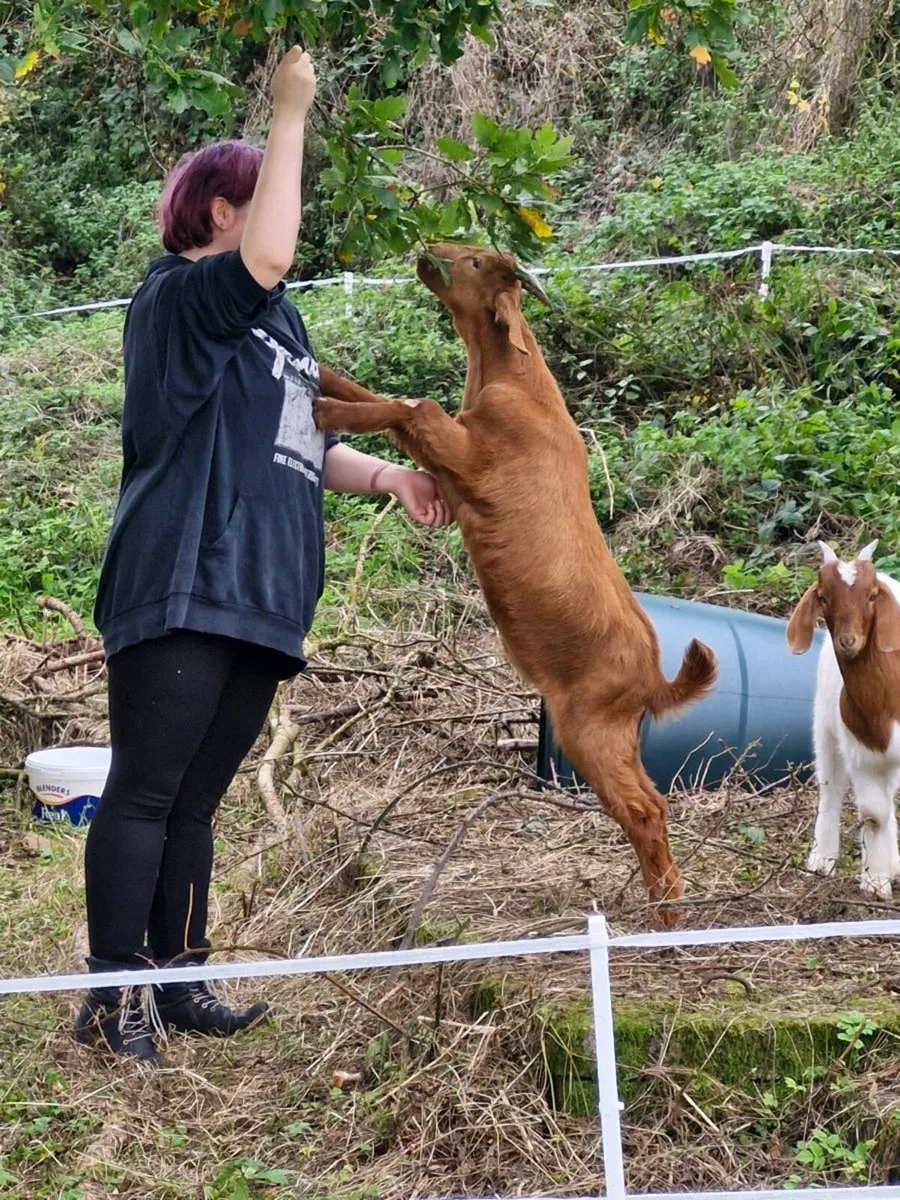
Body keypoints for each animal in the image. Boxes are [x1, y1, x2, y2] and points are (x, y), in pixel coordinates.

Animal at [316, 244, 717, 926]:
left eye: (477, 262)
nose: (427, 252)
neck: (509, 380)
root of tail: (653, 678)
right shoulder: (449, 463)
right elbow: (384, 396)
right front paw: (318, 372)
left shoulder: (470, 456)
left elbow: (412, 403)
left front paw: (323, 409)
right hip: (618, 736)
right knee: (654, 801)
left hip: (588, 731)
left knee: (643, 808)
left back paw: (665, 916)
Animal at [787, 539, 900, 899]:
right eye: (823, 596)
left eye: (872, 595)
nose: (849, 642)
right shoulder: (860, 752)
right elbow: (873, 814)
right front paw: (876, 883)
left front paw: (878, 875)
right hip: (824, 725)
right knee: (831, 786)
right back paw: (823, 860)